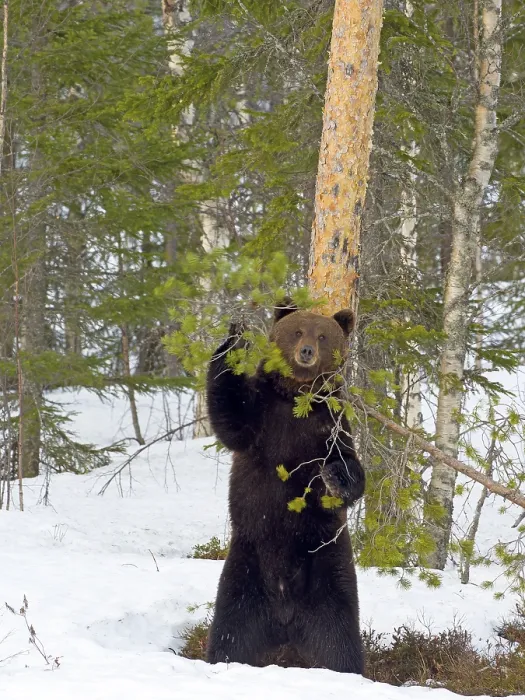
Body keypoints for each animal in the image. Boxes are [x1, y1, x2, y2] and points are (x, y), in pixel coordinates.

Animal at [205, 299, 365, 674]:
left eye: (322, 336)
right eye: (297, 330)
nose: (306, 351)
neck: (297, 396)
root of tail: (285, 619)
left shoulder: (330, 425)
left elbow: (350, 465)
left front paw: (335, 478)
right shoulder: (262, 417)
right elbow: (231, 419)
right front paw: (234, 339)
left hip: (327, 570)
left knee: (339, 640)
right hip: (244, 568)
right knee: (230, 631)